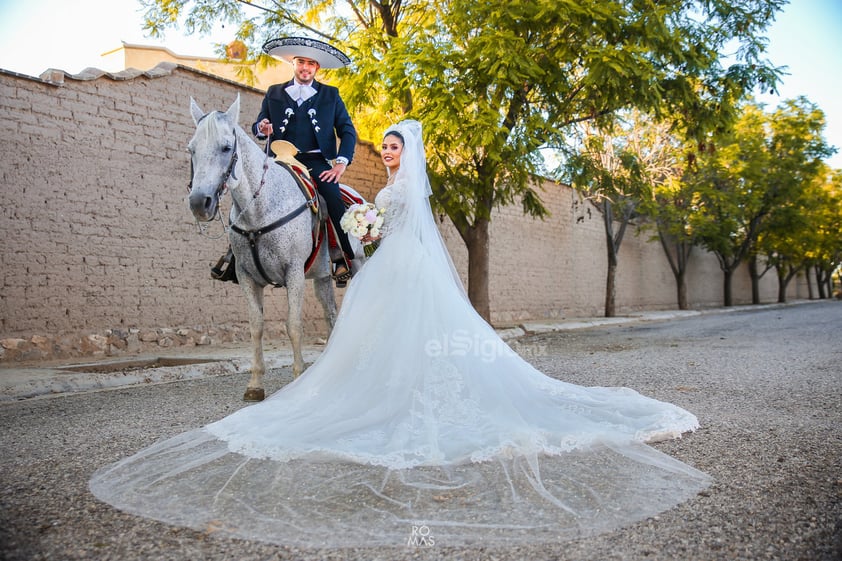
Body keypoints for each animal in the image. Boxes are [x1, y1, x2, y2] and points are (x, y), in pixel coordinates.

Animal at [188, 96, 338, 400]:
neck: (261, 208)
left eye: (226, 147)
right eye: (192, 149)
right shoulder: (247, 276)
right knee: (330, 313)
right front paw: (255, 383)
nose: (200, 203)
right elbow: (256, 326)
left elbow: (293, 325)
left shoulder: (294, 273)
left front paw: (298, 378)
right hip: (322, 277)